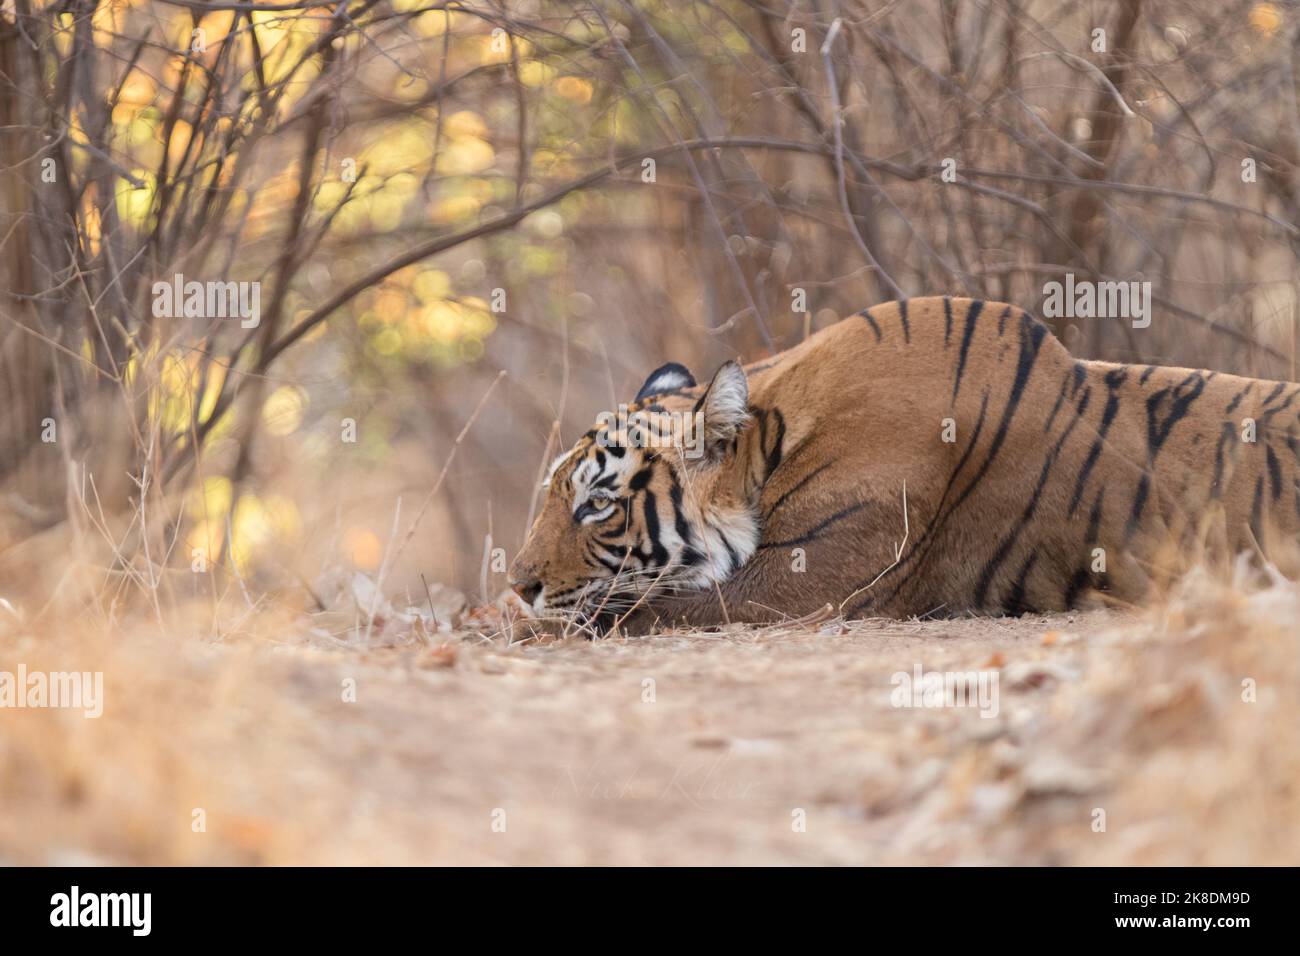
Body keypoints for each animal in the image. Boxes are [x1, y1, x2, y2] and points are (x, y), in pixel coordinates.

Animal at [506, 295, 1300, 632]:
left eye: (597, 504)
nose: (518, 587)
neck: (777, 437)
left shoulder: (801, 583)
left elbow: (633, 609)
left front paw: (522, 628)